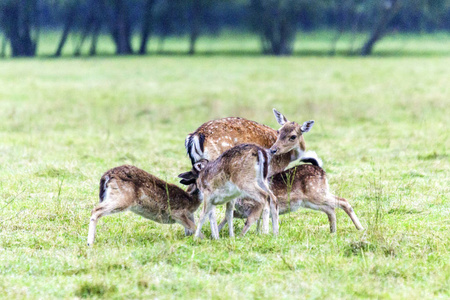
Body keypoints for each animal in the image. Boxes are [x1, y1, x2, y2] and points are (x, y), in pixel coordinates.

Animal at [217, 163, 362, 233]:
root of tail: (323, 173)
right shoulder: (243, 211)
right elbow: (230, 215)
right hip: (311, 200)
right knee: (331, 209)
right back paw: (333, 231)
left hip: (316, 195)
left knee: (343, 202)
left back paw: (360, 228)